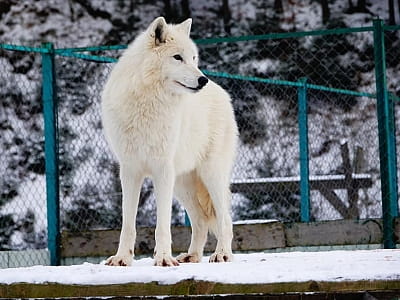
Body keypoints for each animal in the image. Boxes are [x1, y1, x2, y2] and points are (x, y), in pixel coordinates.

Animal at [101, 16, 238, 266]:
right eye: (177, 57)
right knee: (201, 220)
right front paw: (122, 258)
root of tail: (222, 92)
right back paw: (192, 256)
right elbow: (128, 224)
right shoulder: (129, 171)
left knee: (225, 219)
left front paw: (164, 258)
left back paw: (222, 254)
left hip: (210, 174)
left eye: (193, 58)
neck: (148, 102)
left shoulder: (162, 170)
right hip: (183, 183)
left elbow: (162, 224)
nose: (202, 79)